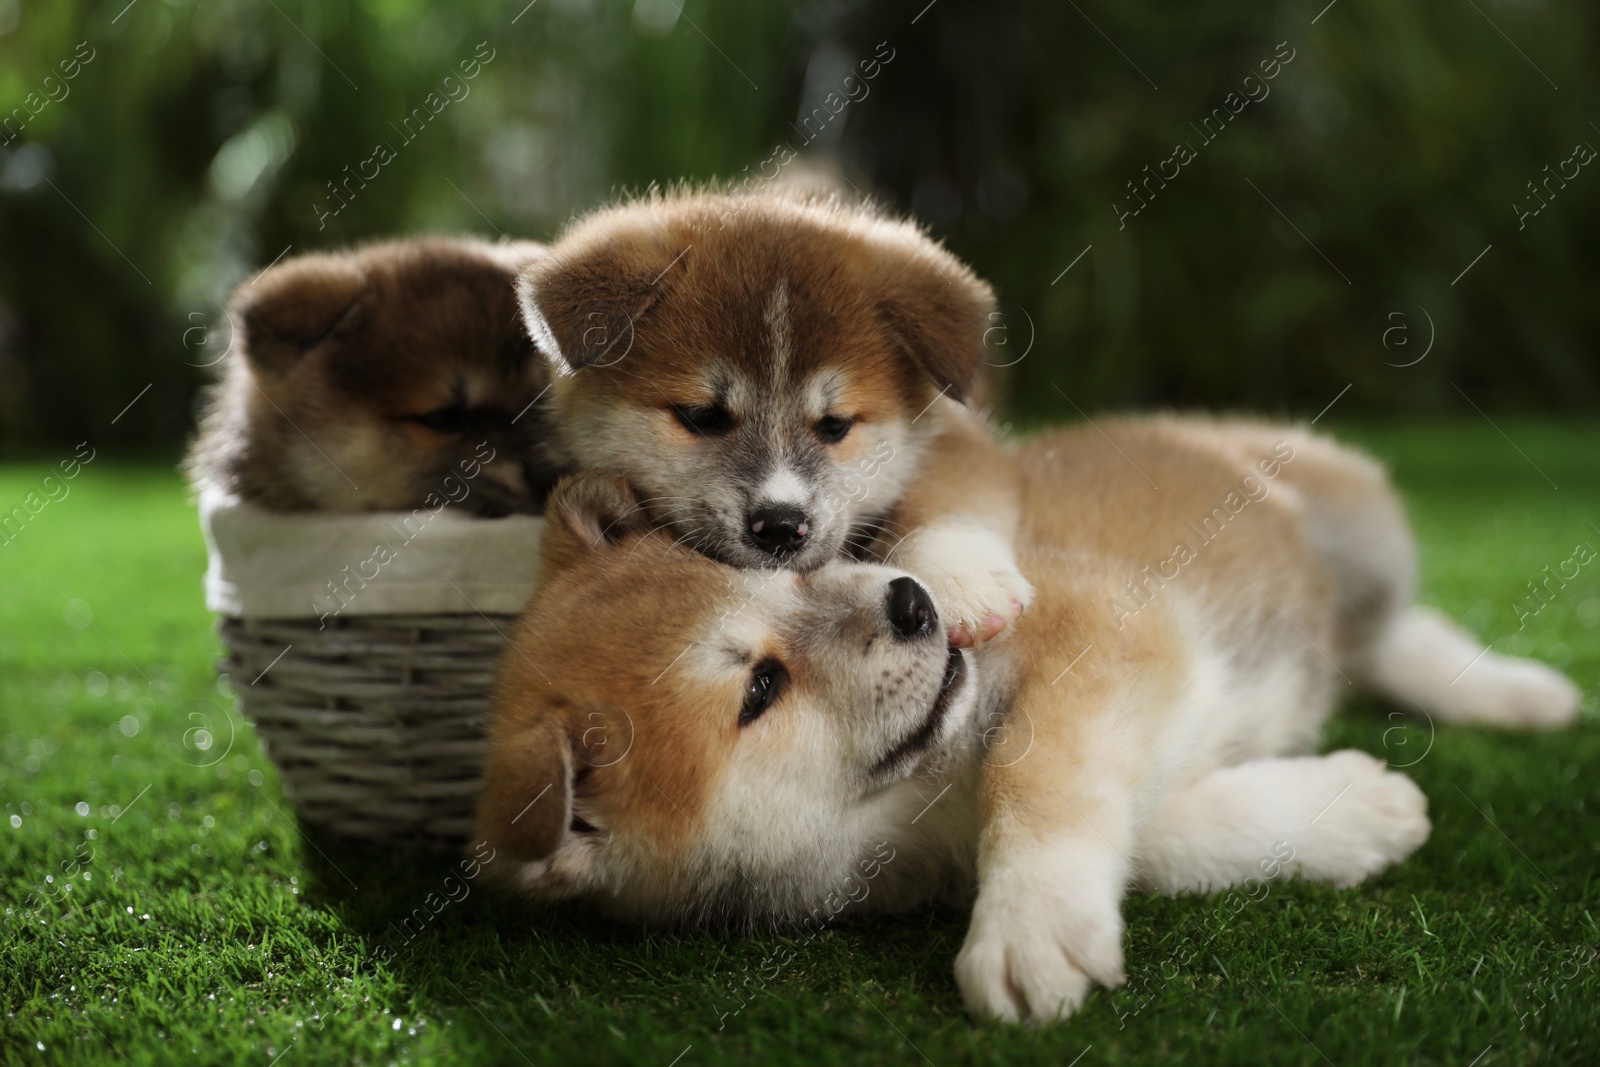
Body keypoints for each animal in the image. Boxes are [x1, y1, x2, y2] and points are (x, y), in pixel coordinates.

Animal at [467, 415, 1580, 1023]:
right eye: (758, 691)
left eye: (797, 566)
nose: (913, 600)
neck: (921, 801)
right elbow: (1162, 837)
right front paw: (1349, 810)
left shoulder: (1102, 628)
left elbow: (1038, 772)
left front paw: (1031, 919)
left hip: (1357, 523)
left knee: (1394, 628)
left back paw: (1510, 688)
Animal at [518, 184, 1030, 646]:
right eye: (702, 416)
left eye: (835, 425)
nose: (782, 527)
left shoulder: (957, 433)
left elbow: (948, 494)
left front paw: (959, 581)